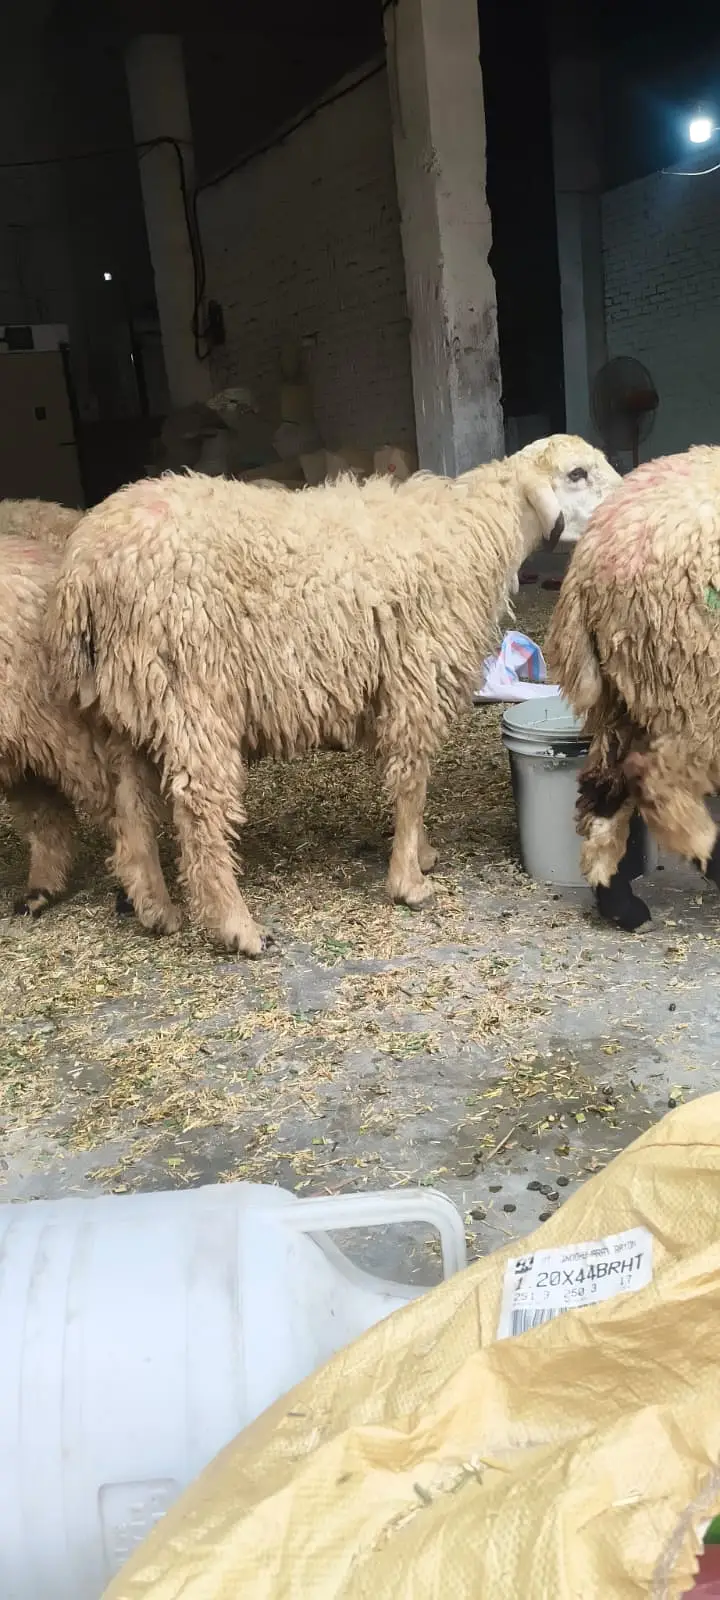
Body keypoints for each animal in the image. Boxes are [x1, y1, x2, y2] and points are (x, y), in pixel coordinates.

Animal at [46, 436, 619, 956]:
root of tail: (86, 567)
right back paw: (237, 927)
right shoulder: (415, 677)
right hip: (191, 689)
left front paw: (421, 854)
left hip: (123, 705)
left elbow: (404, 778)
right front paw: (409, 882)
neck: (476, 531)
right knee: (201, 810)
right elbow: (411, 781)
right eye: (576, 474)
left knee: (130, 807)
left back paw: (155, 908)